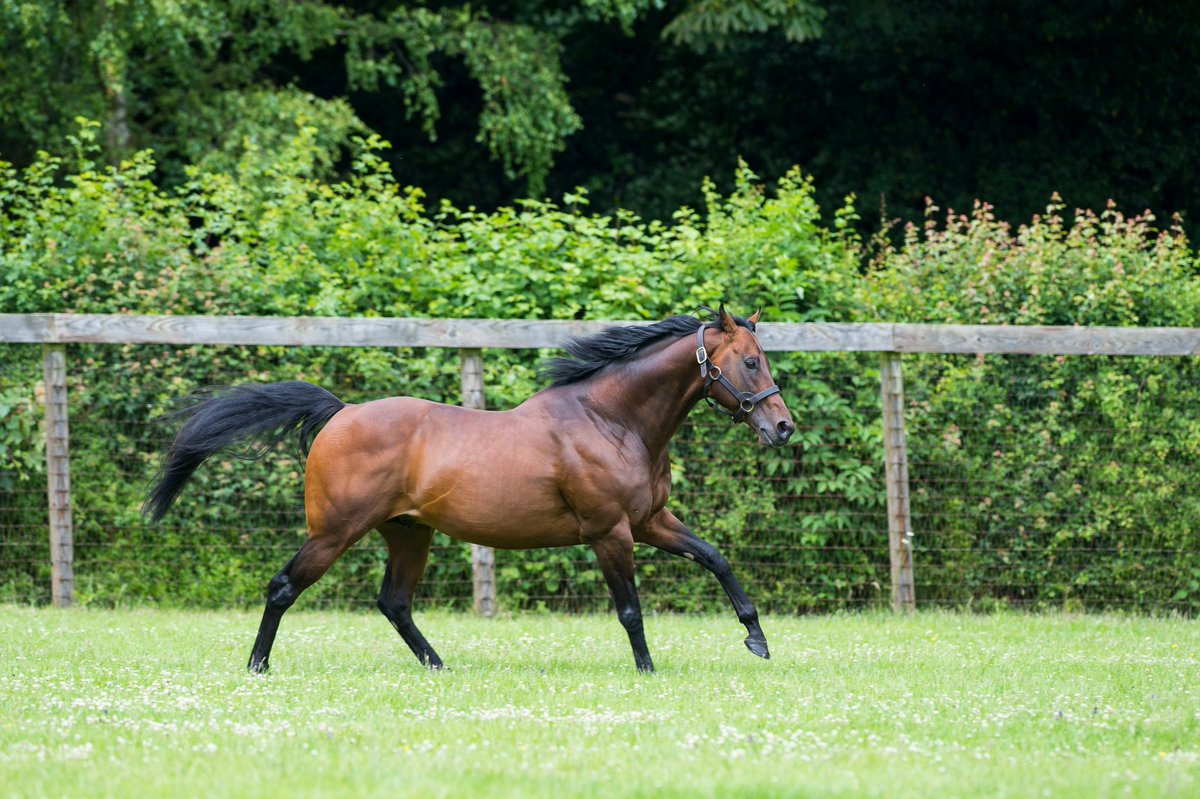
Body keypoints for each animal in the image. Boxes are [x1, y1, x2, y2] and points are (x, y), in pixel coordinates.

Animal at [142, 304, 796, 671]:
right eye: (750, 363)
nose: (783, 427)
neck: (611, 421)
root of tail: (340, 412)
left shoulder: (650, 522)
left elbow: (716, 558)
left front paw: (757, 640)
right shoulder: (611, 532)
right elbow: (630, 609)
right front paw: (648, 671)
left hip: (408, 534)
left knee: (394, 603)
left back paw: (438, 666)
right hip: (334, 533)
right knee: (283, 588)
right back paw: (257, 667)